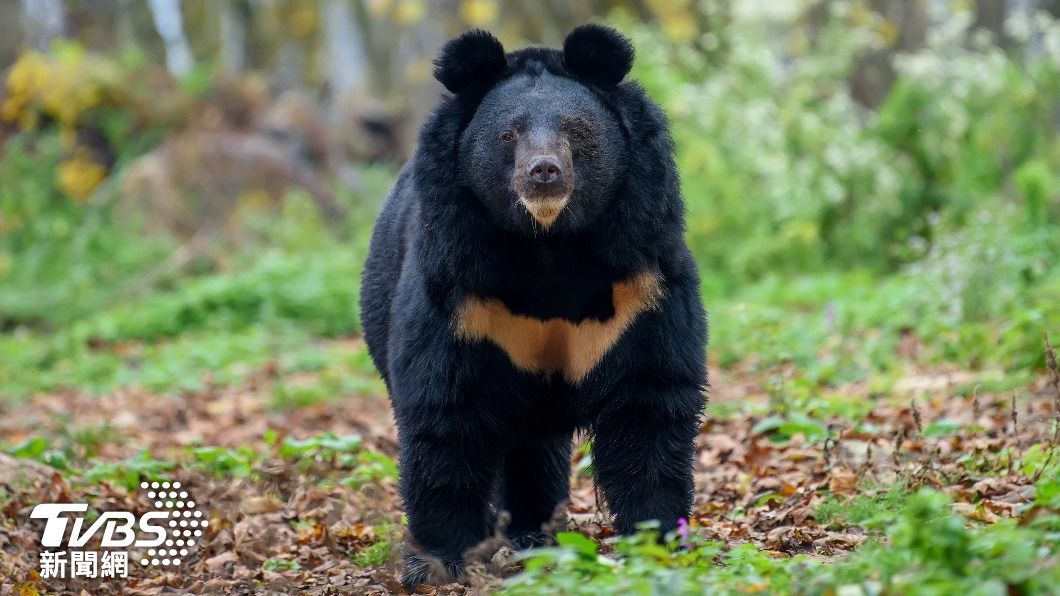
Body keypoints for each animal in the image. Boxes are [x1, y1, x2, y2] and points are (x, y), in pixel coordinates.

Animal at [359, 25, 707, 588]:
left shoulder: (641, 279)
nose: (544, 172)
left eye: (577, 130)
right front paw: (437, 564)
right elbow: (445, 411)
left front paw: (657, 542)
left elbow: (647, 402)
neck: (549, 245)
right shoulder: (458, 288)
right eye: (509, 135)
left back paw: (536, 536)